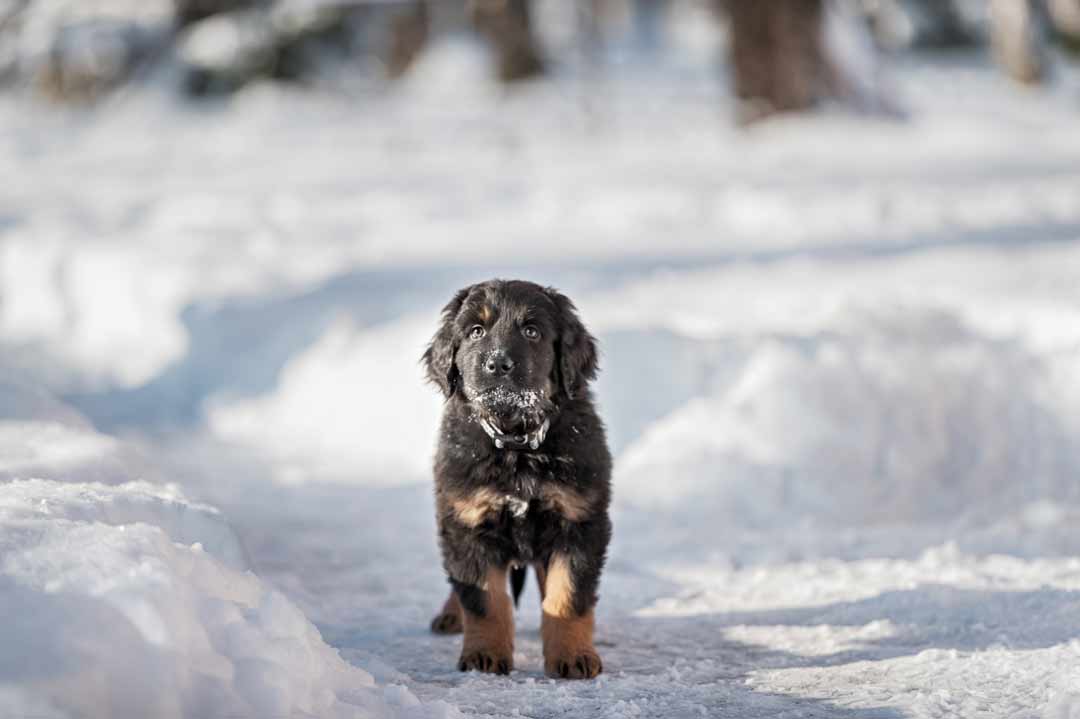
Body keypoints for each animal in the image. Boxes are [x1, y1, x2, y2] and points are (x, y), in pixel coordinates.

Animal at [421, 278, 613, 677]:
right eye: (476, 331)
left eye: (532, 331)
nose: (497, 364)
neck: (517, 447)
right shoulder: (468, 520)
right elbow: (484, 600)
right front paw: (484, 655)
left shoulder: (579, 520)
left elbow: (566, 596)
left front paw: (573, 656)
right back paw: (451, 614)